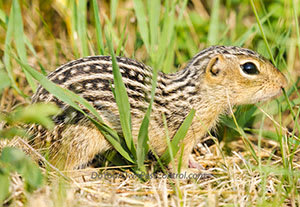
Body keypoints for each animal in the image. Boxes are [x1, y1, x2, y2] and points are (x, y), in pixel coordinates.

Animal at [28, 46, 288, 171]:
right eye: (249, 68)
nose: (284, 82)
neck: (194, 98)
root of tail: (31, 137)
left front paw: (197, 164)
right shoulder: (180, 137)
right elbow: (176, 161)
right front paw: (191, 172)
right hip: (81, 140)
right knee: (58, 169)